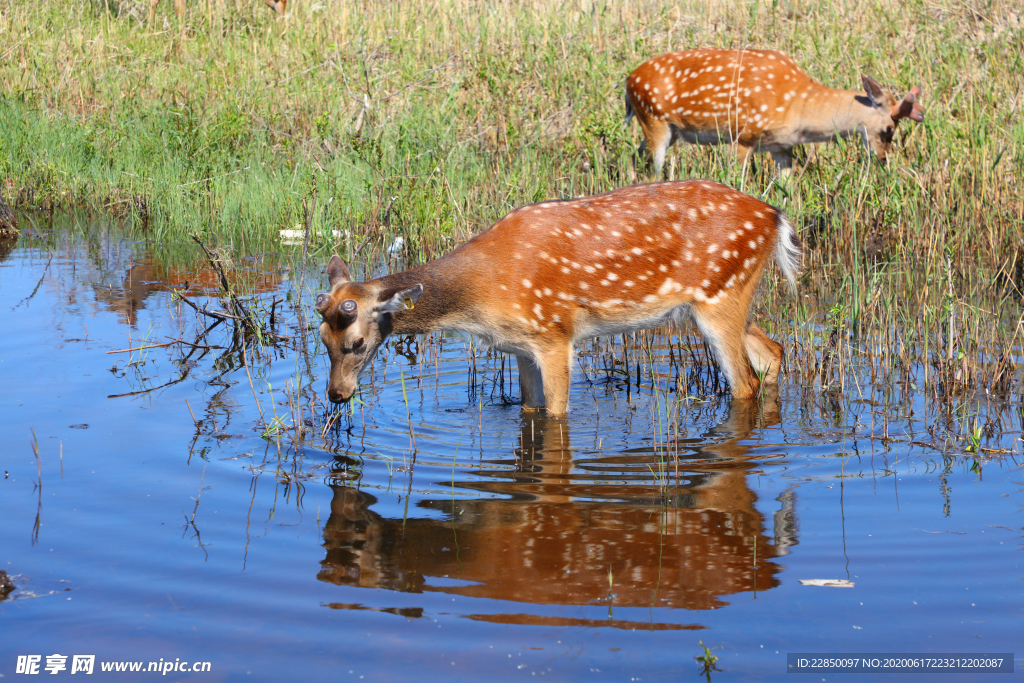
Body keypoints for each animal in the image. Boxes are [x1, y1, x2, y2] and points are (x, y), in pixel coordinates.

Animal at [311, 181, 798, 417]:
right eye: (322, 341)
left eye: (356, 343)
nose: (336, 395)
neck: (483, 293)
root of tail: (776, 217)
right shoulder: (519, 348)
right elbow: (529, 409)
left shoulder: (555, 334)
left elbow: (556, 415)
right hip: (721, 301)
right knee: (773, 350)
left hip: (720, 297)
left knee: (745, 382)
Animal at [622, 48, 929, 176]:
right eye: (888, 130)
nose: (882, 159)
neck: (799, 107)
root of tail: (627, 82)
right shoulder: (742, 135)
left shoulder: (781, 146)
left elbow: (786, 189)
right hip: (654, 120)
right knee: (653, 169)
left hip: (667, 130)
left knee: (633, 159)